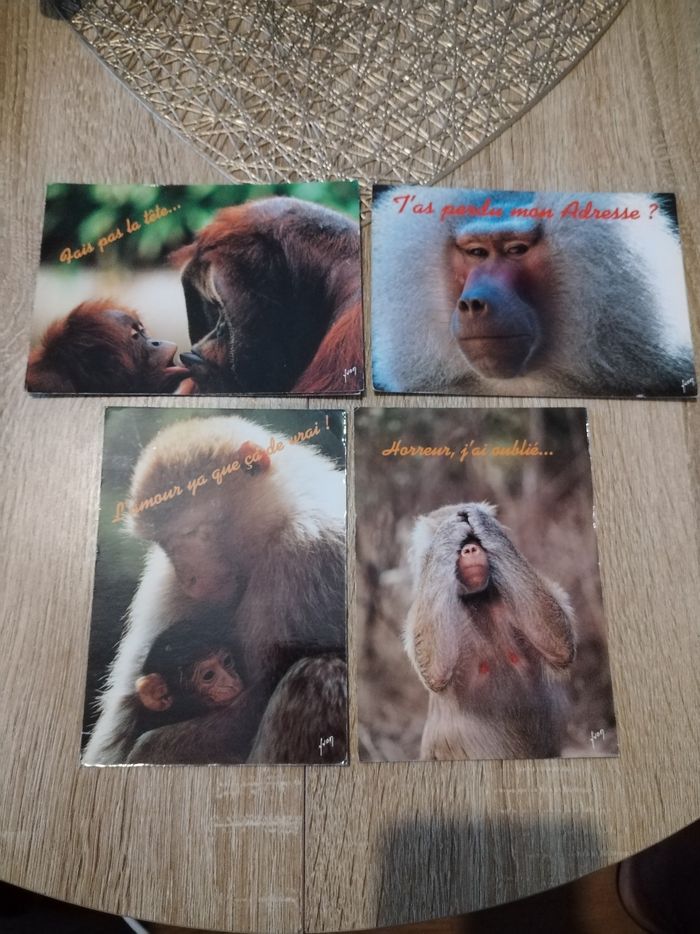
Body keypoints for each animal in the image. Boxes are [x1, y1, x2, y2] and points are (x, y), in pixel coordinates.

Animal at [82, 414, 347, 765]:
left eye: (191, 533)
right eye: (165, 543)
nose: (190, 578)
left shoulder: (303, 551)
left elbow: (255, 699)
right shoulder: (166, 583)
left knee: (319, 672)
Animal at [404, 503, 576, 760]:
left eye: (473, 539)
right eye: (459, 545)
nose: (470, 548)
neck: (477, 599)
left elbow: (560, 645)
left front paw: (482, 521)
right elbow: (435, 670)